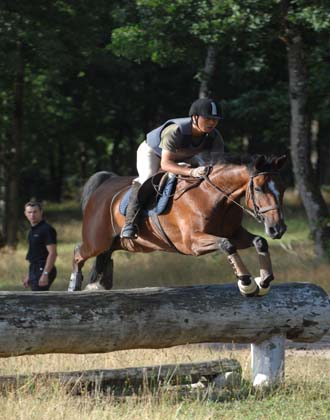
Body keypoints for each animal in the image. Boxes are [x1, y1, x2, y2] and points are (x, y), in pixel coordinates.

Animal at [69, 153, 286, 296]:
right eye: (259, 189)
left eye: (282, 189)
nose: (278, 229)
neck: (215, 198)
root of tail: (105, 184)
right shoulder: (192, 243)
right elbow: (226, 245)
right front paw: (247, 283)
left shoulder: (235, 232)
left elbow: (259, 242)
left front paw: (264, 280)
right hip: (96, 241)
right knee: (79, 252)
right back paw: (74, 285)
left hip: (118, 243)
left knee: (104, 256)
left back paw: (97, 285)